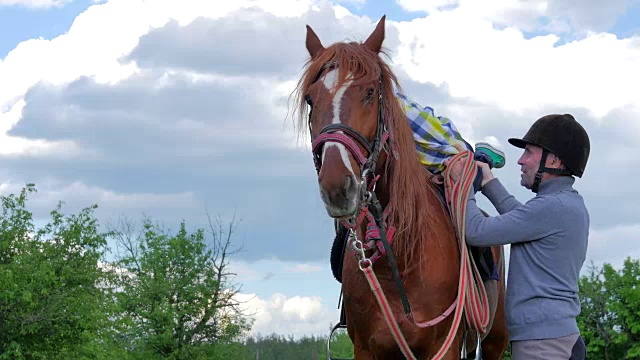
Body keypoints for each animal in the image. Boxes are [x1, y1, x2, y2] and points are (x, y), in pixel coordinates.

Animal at [292, 15, 508, 358]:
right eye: (311, 99)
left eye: (369, 92)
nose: (338, 187)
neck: (402, 259)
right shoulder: (366, 350)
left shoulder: (445, 347)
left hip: (494, 341)